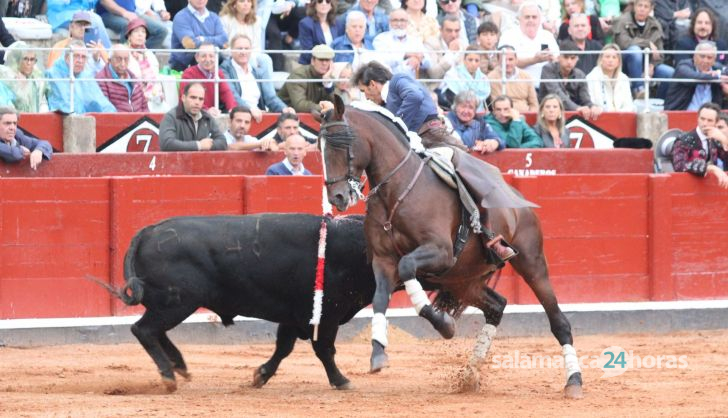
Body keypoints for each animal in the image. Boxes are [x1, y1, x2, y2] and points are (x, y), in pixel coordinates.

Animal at [116, 212, 378, 392]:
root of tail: (149, 231)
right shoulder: (325, 315)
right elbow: (324, 349)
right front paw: (341, 381)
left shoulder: (293, 315)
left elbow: (284, 347)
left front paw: (260, 375)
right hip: (177, 303)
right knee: (144, 330)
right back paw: (169, 376)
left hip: (169, 304)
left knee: (155, 331)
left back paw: (179, 366)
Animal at [318, 98, 584, 398]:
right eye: (320, 146)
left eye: (342, 142)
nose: (337, 197)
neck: (396, 191)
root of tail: (519, 200)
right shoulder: (383, 261)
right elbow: (380, 297)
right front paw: (378, 353)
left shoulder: (440, 252)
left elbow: (407, 267)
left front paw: (444, 324)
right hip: (463, 279)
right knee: (497, 306)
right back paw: (470, 374)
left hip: (531, 263)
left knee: (558, 321)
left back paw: (574, 381)